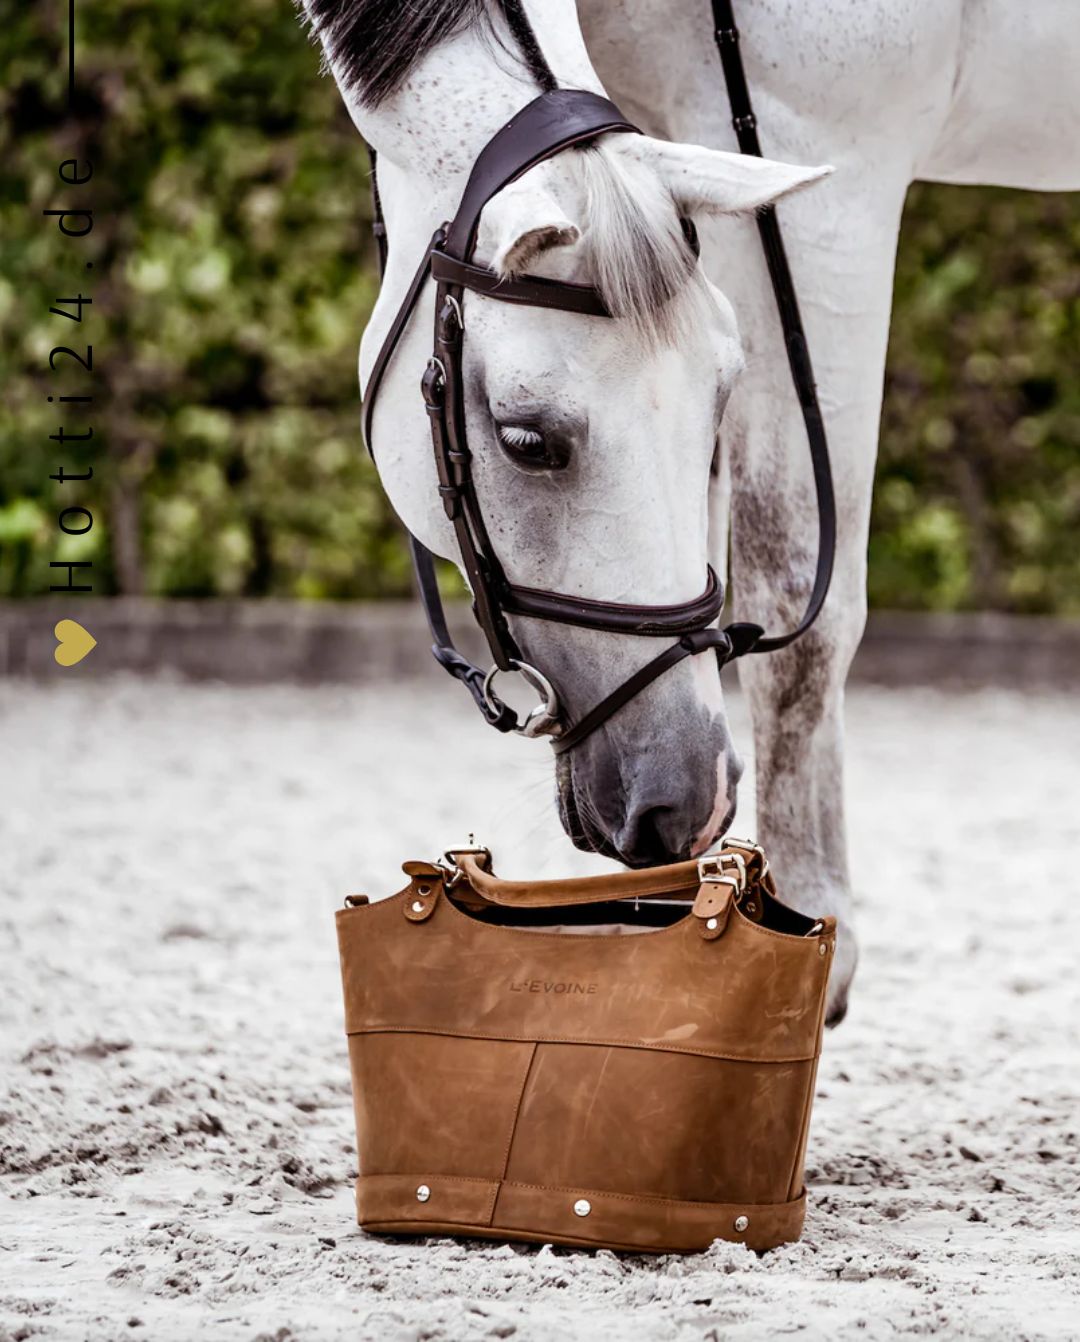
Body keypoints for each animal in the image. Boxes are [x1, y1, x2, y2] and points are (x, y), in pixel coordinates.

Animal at [304, 0, 1080, 1024]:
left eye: (722, 399)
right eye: (525, 439)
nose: (683, 797)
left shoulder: (823, 169)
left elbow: (799, 606)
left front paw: (807, 919)